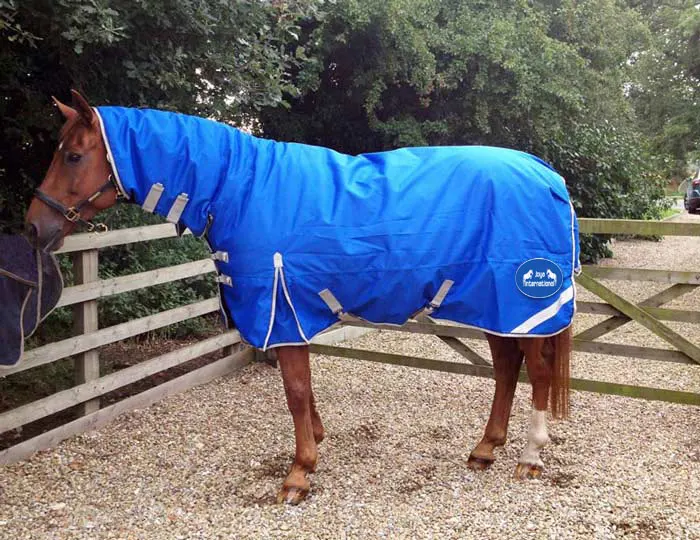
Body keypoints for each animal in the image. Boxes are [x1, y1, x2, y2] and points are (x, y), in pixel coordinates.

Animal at [25, 90, 574, 505]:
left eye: (73, 155)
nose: (33, 227)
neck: (240, 190)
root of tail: (545, 173)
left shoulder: (282, 312)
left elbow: (293, 392)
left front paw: (299, 473)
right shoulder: (292, 313)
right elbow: (304, 391)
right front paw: (316, 445)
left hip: (523, 303)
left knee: (537, 372)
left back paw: (529, 456)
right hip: (494, 307)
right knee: (506, 369)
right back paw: (486, 448)